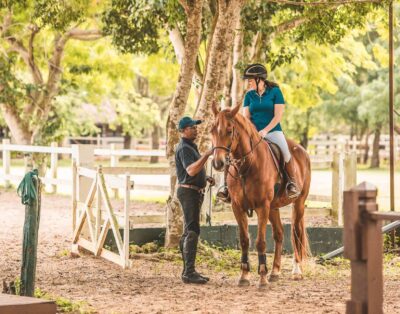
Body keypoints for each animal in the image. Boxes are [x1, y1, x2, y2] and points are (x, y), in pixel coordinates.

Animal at [211, 102, 310, 288]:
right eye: (212, 130)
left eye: (229, 130)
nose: (218, 163)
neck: (247, 166)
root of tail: (302, 151)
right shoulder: (237, 207)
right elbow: (244, 240)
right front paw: (244, 276)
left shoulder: (262, 206)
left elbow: (260, 242)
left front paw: (262, 277)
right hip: (273, 208)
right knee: (279, 235)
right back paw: (275, 272)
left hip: (298, 204)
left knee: (296, 233)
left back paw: (296, 271)